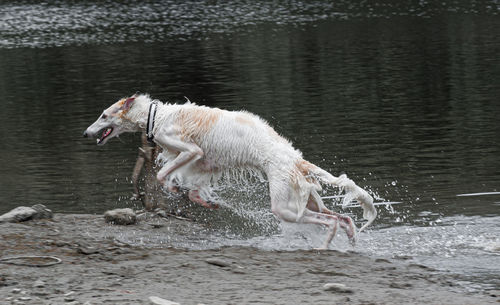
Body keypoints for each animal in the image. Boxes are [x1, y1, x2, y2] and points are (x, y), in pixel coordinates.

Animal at [84, 92, 376, 247]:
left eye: (104, 115)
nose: (86, 133)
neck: (156, 116)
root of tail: (295, 159)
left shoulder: (191, 151)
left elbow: (162, 174)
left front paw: (173, 188)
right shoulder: (204, 162)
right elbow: (193, 188)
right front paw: (205, 200)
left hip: (283, 207)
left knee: (330, 221)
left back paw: (327, 244)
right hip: (306, 199)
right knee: (343, 218)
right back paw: (350, 240)